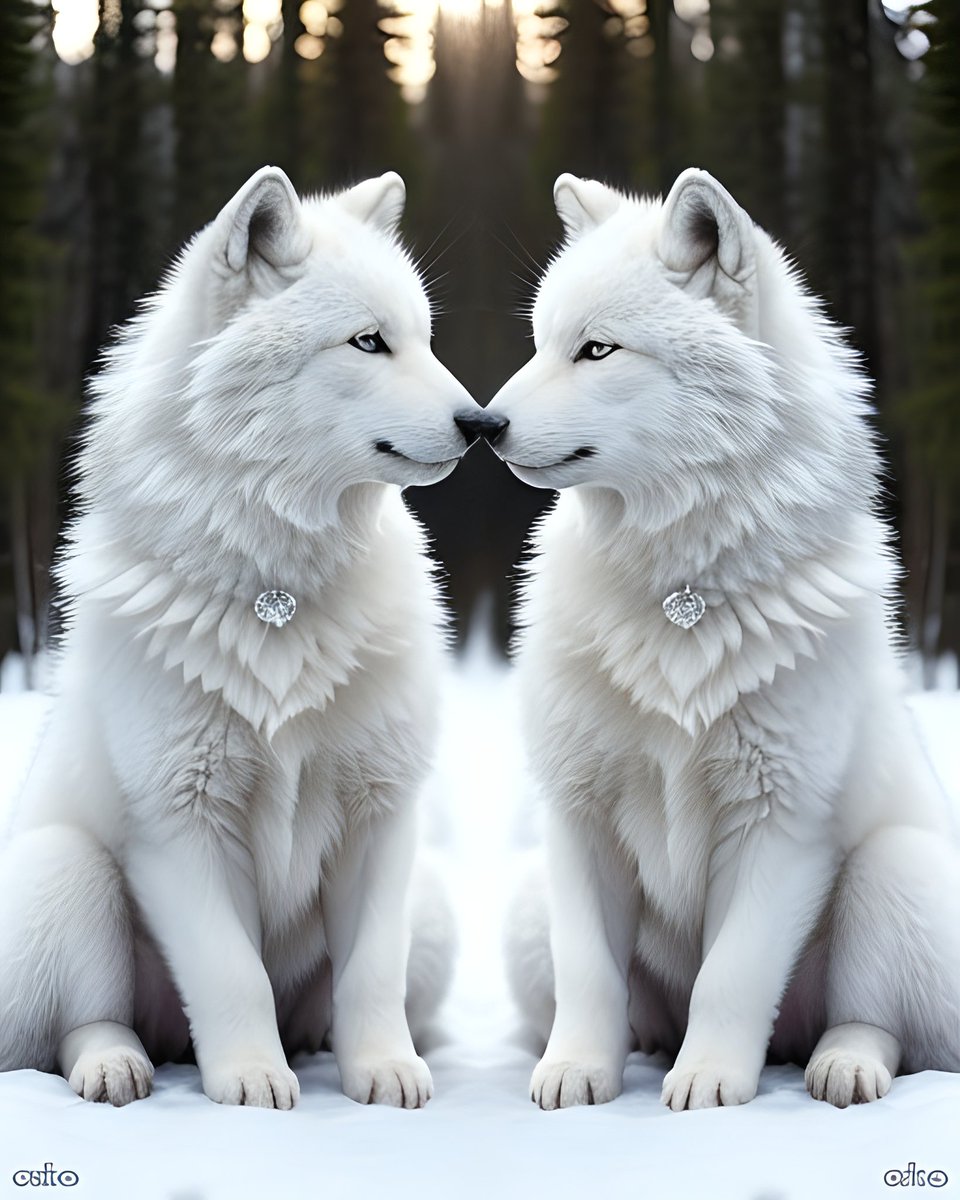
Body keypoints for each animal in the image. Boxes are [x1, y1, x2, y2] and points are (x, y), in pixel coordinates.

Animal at [0, 167, 482, 1108]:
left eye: (423, 338)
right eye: (368, 343)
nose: (481, 423)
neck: (277, 596)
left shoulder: (382, 818)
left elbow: (370, 976)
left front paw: (383, 1072)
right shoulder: (180, 827)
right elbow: (233, 976)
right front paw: (254, 1082)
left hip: (437, 910)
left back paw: (316, 1046)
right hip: (69, 870)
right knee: (85, 1026)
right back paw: (118, 1065)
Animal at [489, 169, 960, 1110]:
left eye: (596, 351)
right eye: (541, 343)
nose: (482, 425)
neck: (681, 597)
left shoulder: (780, 824)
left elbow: (732, 978)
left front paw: (707, 1083)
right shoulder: (577, 817)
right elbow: (590, 977)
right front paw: (577, 1074)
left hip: (894, 872)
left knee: (877, 1028)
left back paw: (840, 1065)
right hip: (527, 907)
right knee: (629, 1006)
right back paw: (641, 1049)